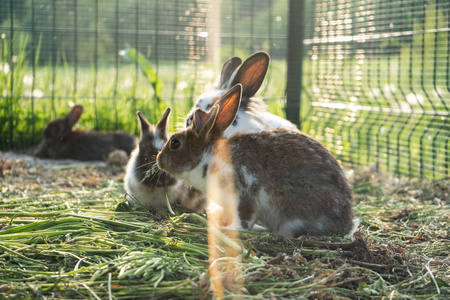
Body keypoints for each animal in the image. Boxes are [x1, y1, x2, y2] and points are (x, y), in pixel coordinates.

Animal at [158, 84, 358, 237]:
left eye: (175, 143)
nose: (159, 160)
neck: (208, 156)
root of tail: (346, 223)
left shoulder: (244, 193)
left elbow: (245, 220)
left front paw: (229, 228)